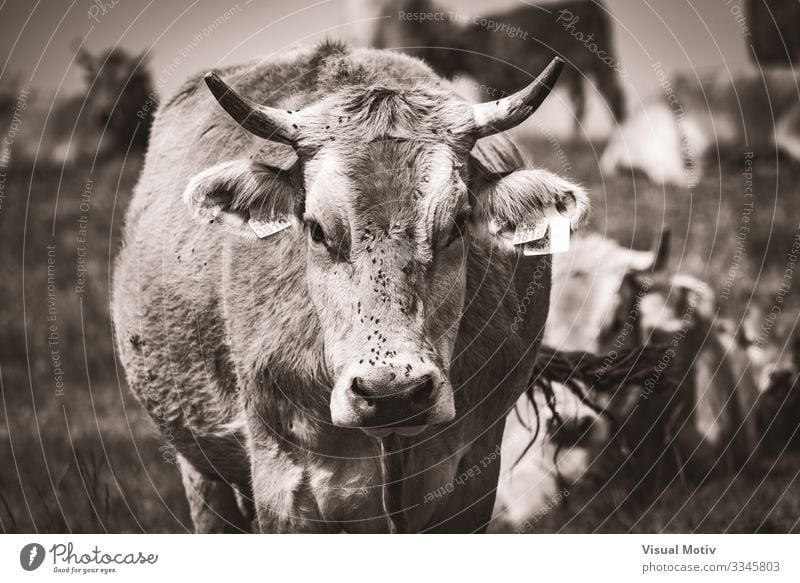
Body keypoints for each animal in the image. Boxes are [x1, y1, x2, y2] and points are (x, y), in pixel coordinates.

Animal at [111, 41, 588, 532]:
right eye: (317, 229)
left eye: (457, 224)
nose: (393, 394)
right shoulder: (289, 482)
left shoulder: (472, 470)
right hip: (200, 469)